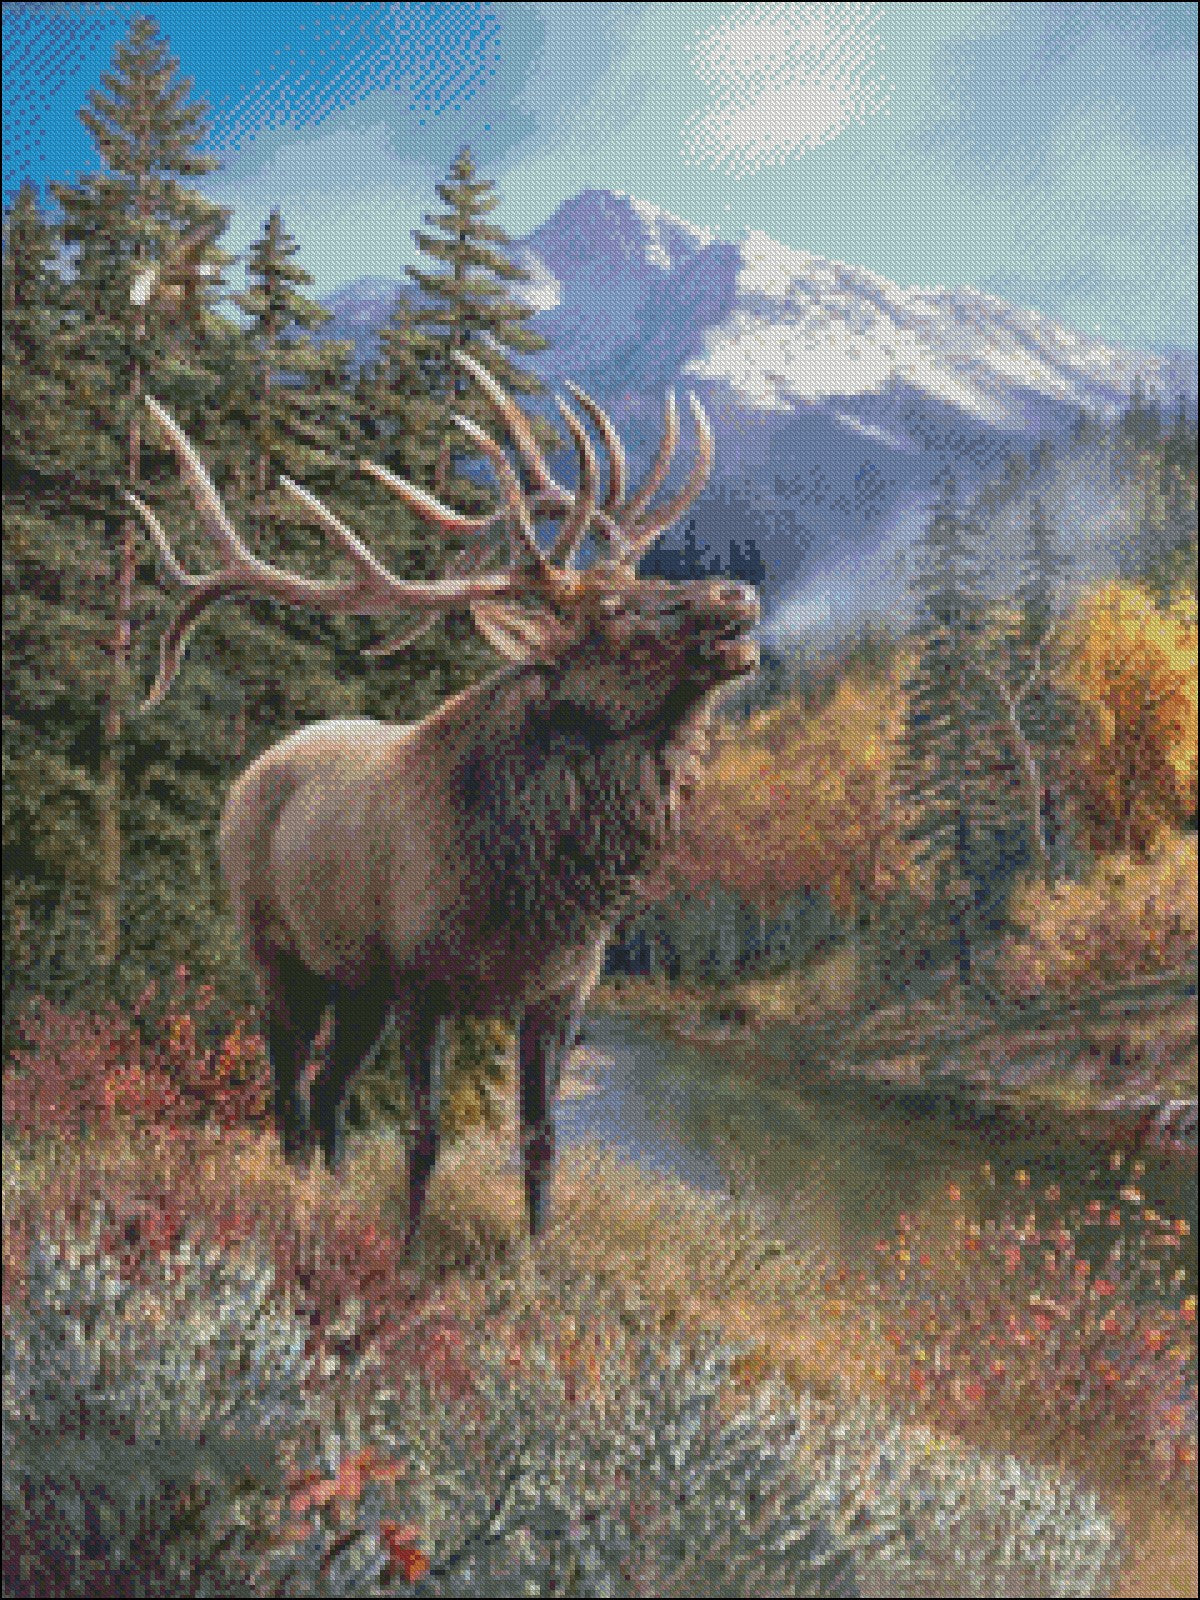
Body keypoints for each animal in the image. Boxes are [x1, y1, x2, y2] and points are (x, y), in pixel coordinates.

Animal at [126, 350, 759, 1246]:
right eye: (612, 611)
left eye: (640, 578)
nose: (735, 596)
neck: (540, 897)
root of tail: (253, 771)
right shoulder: (423, 981)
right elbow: (423, 1135)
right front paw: (406, 1252)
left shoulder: (559, 995)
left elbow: (540, 1141)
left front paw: (532, 1258)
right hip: (278, 953)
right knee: (288, 1090)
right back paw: (304, 1202)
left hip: (359, 986)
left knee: (331, 1091)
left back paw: (337, 1195)